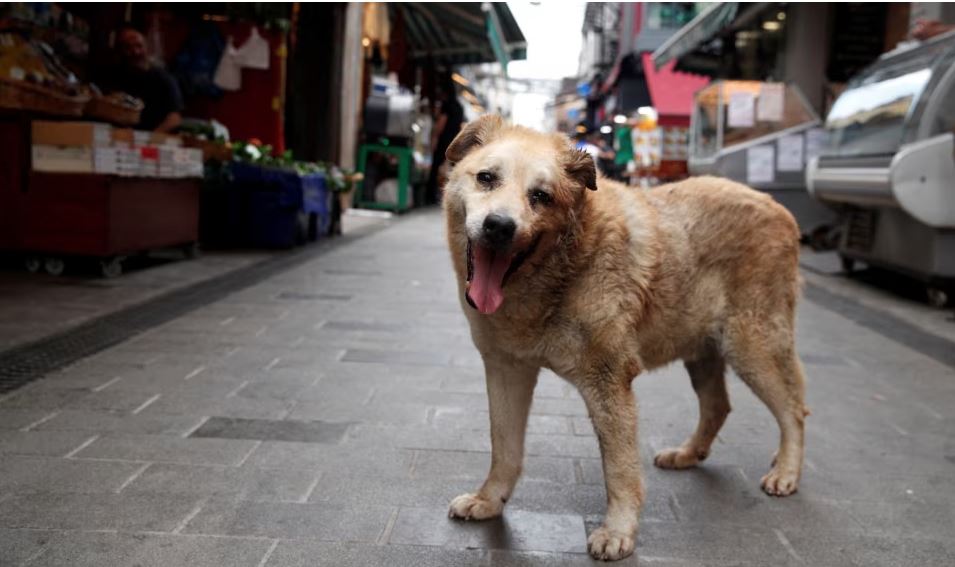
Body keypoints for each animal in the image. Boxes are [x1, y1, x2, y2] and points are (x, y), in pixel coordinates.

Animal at [440, 114, 808, 560]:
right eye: (487, 178)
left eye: (541, 196)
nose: (499, 227)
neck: (567, 264)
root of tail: (779, 208)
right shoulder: (507, 369)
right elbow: (504, 446)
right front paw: (490, 499)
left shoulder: (609, 381)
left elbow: (619, 468)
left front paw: (619, 531)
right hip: (703, 351)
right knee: (719, 406)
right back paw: (688, 455)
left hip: (752, 346)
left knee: (794, 409)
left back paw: (786, 471)